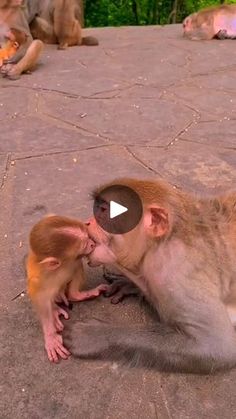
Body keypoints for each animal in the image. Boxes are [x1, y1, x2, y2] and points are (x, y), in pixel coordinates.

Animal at [27, 215, 108, 362]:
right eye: (84, 244)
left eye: (88, 237)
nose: (92, 244)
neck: (61, 264)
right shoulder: (42, 277)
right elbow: (40, 297)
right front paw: (50, 336)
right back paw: (56, 308)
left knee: (75, 264)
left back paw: (76, 295)